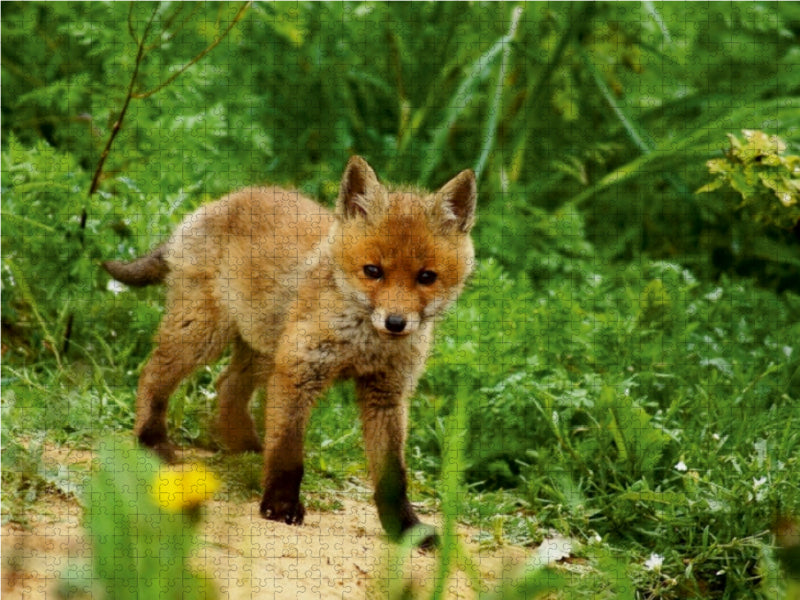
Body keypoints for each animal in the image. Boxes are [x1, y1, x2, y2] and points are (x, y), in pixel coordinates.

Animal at [103, 156, 476, 544]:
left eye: (426, 277)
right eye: (373, 271)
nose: (396, 322)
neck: (363, 344)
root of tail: (219, 202)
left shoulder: (386, 393)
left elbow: (393, 477)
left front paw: (406, 528)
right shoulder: (300, 371)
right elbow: (287, 453)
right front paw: (281, 505)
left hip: (262, 350)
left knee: (227, 386)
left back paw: (247, 449)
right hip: (203, 335)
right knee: (153, 373)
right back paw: (151, 440)